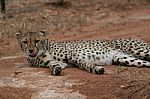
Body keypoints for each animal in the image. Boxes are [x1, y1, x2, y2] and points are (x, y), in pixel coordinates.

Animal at [15, 30, 150, 75]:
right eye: (25, 42)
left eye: (36, 41)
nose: (31, 50)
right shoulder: (54, 62)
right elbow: (55, 65)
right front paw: (56, 70)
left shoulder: (73, 56)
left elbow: (85, 64)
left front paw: (97, 69)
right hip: (123, 58)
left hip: (139, 50)